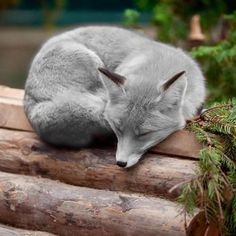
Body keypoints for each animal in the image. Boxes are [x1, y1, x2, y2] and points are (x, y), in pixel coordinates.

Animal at [23, 26, 206, 168]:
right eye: (118, 129)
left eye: (144, 134)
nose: (121, 163)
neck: (158, 64)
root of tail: (31, 104)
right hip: (92, 60)